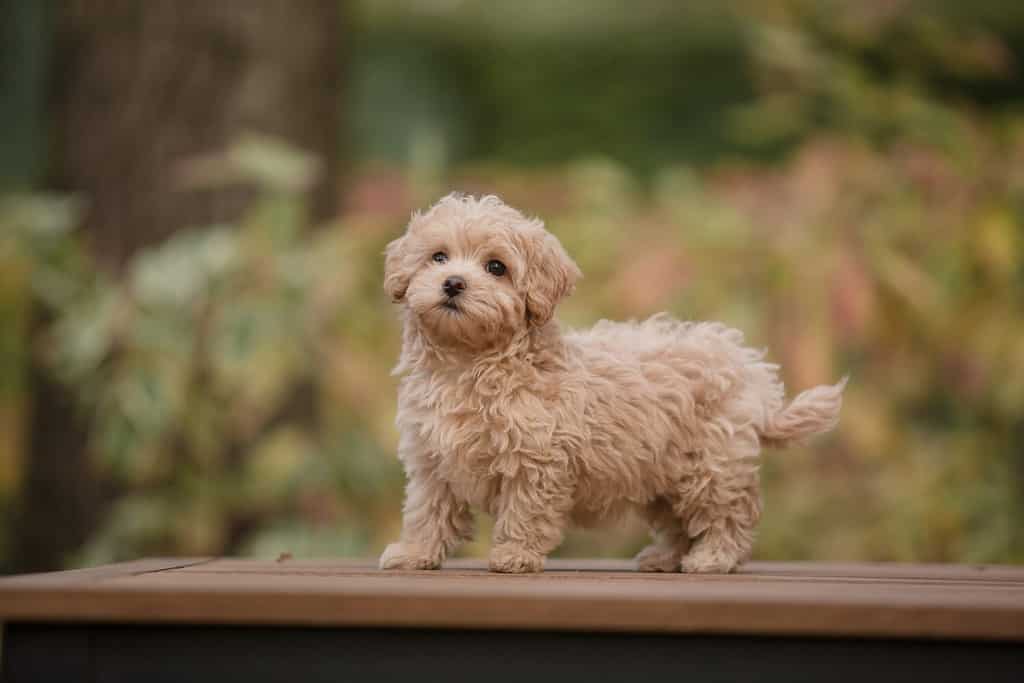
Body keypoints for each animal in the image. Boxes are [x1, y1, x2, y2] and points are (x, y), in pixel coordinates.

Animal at [380, 194, 843, 573]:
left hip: (711, 465)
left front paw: (515, 555)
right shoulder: (432, 459)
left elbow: (525, 511)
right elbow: (427, 511)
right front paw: (414, 553)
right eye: (439, 257)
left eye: (496, 267)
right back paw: (665, 558)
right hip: (662, 476)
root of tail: (750, 369)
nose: (453, 283)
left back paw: (713, 558)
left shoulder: (537, 460)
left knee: (729, 515)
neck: (468, 363)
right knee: (679, 522)